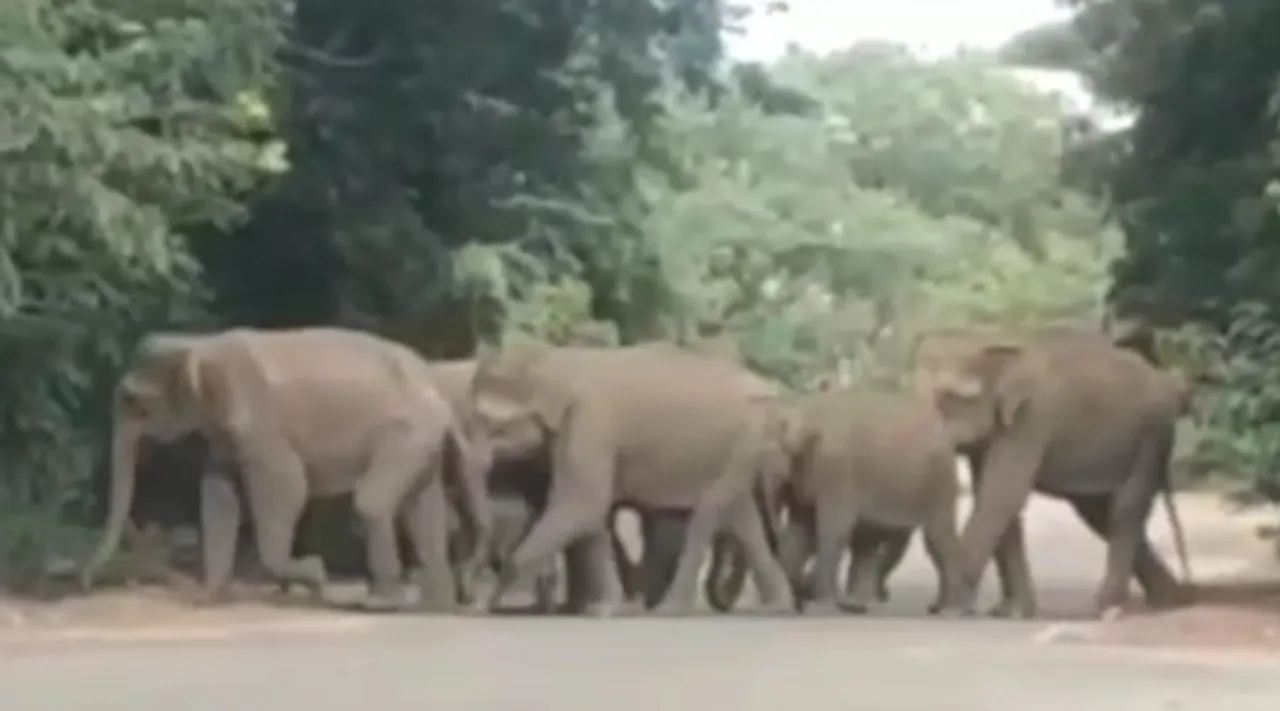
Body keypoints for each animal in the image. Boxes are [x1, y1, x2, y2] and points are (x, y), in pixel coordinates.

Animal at [78, 327, 488, 612]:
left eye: (134, 402)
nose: (83, 582)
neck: (200, 342)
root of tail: (435, 384)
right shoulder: (224, 432)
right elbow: (218, 494)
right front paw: (206, 598)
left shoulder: (259, 423)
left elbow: (288, 485)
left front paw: (316, 574)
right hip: (423, 443)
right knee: (424, 511)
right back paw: (437, 604)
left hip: (409, 432)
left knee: (373, 502)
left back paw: (382, 602)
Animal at [465, 340, 793, 617]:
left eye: (492, 425)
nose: (472, 602)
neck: (554, 359)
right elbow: (591, 515)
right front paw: (603, 609)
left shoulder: (589, 423)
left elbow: (582, 503)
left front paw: (491, 606)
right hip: (743, 448)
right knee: (742, 516)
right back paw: (775, 607)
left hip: (747, 439)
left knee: (710, 509)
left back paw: (670, 610)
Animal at [711, 386, 962, 614]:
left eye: (759, 459)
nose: (802, 595)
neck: (801, 405)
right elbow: (800, 532)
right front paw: (801, 601)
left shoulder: (836, 469)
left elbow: (833, 527)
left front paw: (820, 604)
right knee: (867, 542)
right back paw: (860, 606)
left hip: (940, 481)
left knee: (936, 538)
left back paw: (947, 610)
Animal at [911, 325, 1187, 620]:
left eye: (950, 398)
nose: (932, 607)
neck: (990, 340)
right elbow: (997, 501)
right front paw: (1012, 611)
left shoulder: (1030, 420)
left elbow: (1001, 496)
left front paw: (952, 609)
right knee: (1099, 514)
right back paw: (1170, 600)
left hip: (1152, 435)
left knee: (1126, 509)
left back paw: (1109, 608)